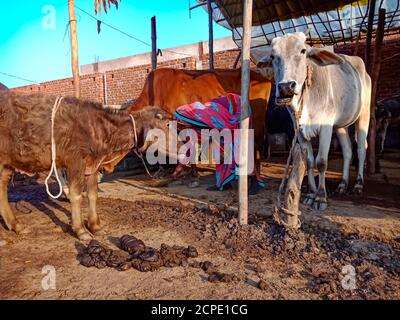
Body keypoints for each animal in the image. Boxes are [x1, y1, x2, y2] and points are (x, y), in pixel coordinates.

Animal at [0, 91, 170, 239]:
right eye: (168, 124)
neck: (97, 128)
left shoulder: (92, 164)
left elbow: (92, 194)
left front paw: (95, 226)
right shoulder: (75, 162)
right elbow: (76, 195)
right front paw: (80, 230)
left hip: (6, 165)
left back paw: (16, 225)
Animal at [126, 68, 272, 190]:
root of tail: (264, 78)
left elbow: (189, 151)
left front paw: (192, 177)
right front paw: (164, 172)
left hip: (257, 122)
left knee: (257, 147)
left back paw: (254, 183)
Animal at [253, 32, 372, 210]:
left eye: (303, 51)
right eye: (273, 56)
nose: (286, 87)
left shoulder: (326, 128)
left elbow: (321, 162)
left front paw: (320, 197)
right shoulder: (299, 131)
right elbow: (309, 162)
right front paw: (310, 194)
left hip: (364, 114)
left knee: (361, 149)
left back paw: (358, 185)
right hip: (341, 126)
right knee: (348, 151)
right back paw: (342, 184)